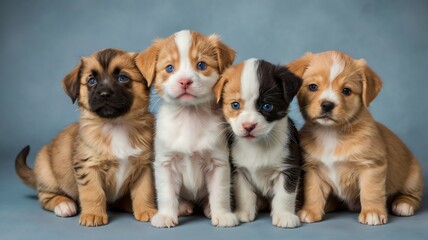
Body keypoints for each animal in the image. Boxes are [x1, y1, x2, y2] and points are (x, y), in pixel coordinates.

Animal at [16, 47, 159, 226]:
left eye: (122, 78)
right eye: (91, 81)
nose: (104, 94)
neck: (116, 125)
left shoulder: (143, 166)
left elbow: (144, 191)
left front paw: (147, 210)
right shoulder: (87, 166)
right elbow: (93, 192)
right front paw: (93, 214)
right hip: (46, 172)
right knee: (45, 197)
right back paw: (64, 205)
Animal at [135, 29, 237, 227]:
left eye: (201, 65)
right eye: (169, 68)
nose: (184, 81)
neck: (189, 116)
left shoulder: (218, 163)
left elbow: (220, 193)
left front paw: (222, 214)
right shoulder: (165, 163)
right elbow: (166, 193)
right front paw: (166, 215)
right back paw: (181, 206)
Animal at [213, 59, 300, 228]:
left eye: (267, 106)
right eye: (235, 105)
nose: (248, 126)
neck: (259, 145)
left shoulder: (289, 168)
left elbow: (285, 194)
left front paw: (284, 215)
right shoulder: (239, 170)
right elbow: (244, 193)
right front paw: (243, 212)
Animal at [288, 50, 424, 225]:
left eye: (346, 90)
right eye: (313, 87)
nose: (327, 105)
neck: (330, 133)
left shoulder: (372, 166)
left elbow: (370, 192)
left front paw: (372, 212)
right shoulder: (313, 169)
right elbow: (313, 192)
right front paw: (310, 211)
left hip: (413, 177)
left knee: (413, 196)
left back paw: (404, 204)